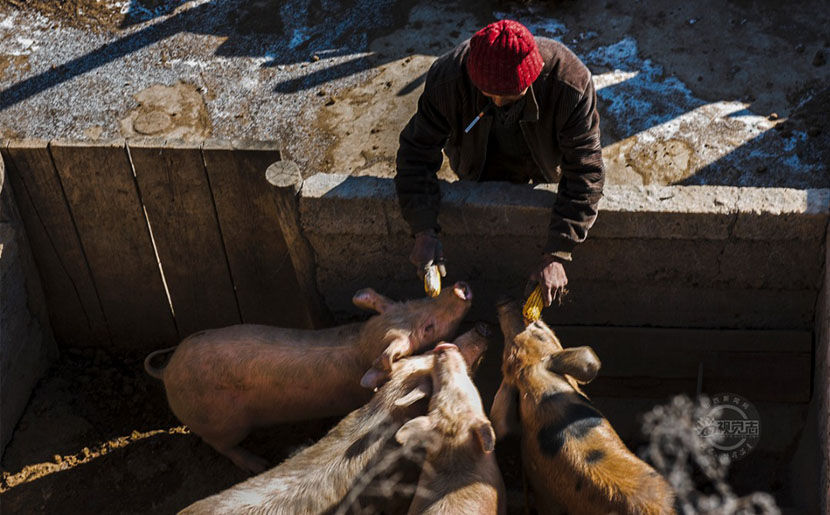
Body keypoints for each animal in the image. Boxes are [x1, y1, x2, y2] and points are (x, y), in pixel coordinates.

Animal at [143, 284, 474, 474]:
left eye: (413, 300)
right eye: (428, 328)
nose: (460, 287)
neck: (362, 343)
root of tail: (166, 372)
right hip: (222, 423)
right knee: (219, 445)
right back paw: (258, 464)